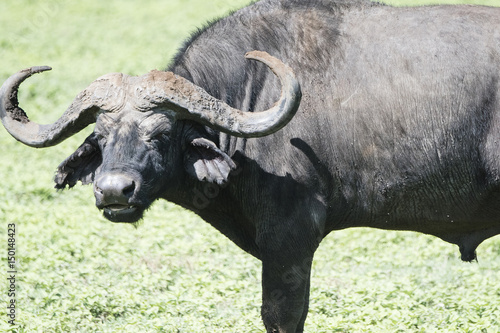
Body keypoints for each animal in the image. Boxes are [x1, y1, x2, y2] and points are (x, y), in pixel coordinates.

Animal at [0, 0, 500, 332]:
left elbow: (282, 314)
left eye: (162, 134)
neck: (251, 97)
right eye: (101, 137)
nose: (114, 191)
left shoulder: (290, 240)